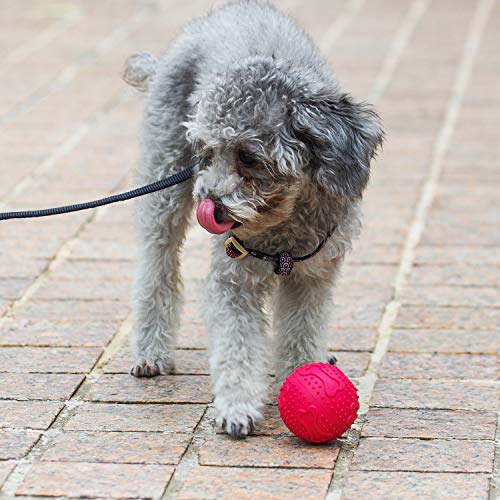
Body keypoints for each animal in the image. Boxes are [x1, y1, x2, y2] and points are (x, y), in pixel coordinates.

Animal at [124, 0, 382, 438]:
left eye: (248, 156)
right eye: (206, 153)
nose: (209, 205)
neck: (285, 224)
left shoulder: (313, 278)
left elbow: (301, 331)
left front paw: (302, 374)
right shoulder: (233, 281)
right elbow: (237, 344)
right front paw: (238, 408)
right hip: (163, 193)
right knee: (156, 269)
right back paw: (150, 351)